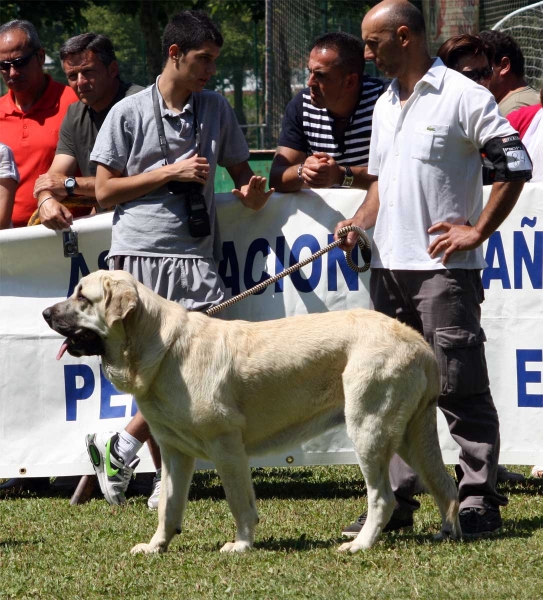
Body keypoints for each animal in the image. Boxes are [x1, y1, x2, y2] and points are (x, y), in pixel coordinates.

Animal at [43, 270, 460, 552]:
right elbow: (169, 507)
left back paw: (360, 545)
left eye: (82, 297)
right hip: (410, 436)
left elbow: (238, 502)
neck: (159, 347)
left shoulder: (226, 446)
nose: (45, 312)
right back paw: (449, 533)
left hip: (369, 430)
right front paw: (156, 546)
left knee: (383, 498)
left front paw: (241, 545)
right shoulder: (175, 453)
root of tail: (418, 342)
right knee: (445, 484)